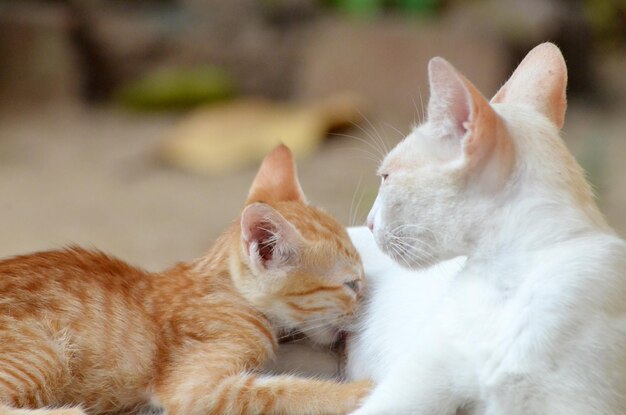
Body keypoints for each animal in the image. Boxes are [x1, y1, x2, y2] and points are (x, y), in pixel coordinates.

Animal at [0, 145, 368, 415]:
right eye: (351, 284)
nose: (365, 304)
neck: (230, 294)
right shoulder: (195, 390)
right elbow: (283, 391)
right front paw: (360, 392)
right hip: (45, 354)